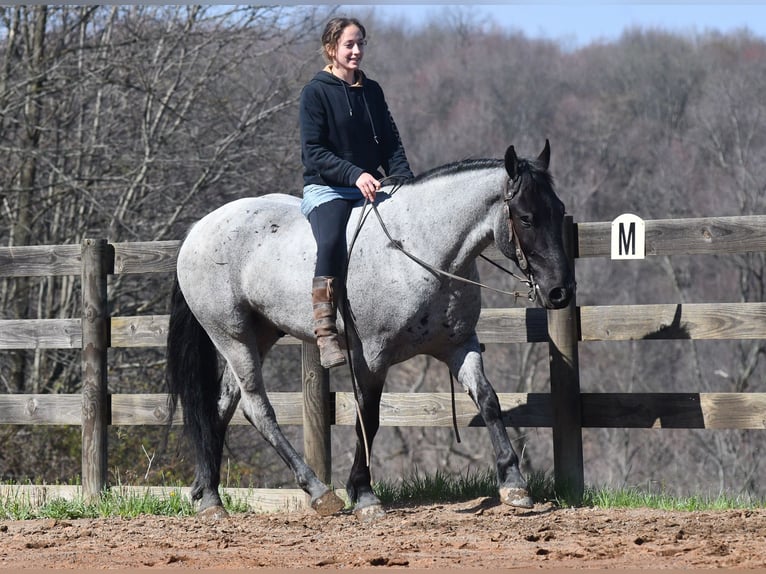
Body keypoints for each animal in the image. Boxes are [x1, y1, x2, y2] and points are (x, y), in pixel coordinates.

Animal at [166, 140, 574, 521]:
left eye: (558, 211)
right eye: (526, 218)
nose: (560, 292)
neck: (418, 248)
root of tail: (198, 230)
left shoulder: (459, 345)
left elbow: (488, 400)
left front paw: (513, 484)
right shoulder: (373, 356)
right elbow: (370, 416)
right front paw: (363, 494)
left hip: (260, 333)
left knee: (222, 405)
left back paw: (209, 495)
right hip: (231, 335)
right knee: (257, 408)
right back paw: (317, 491)